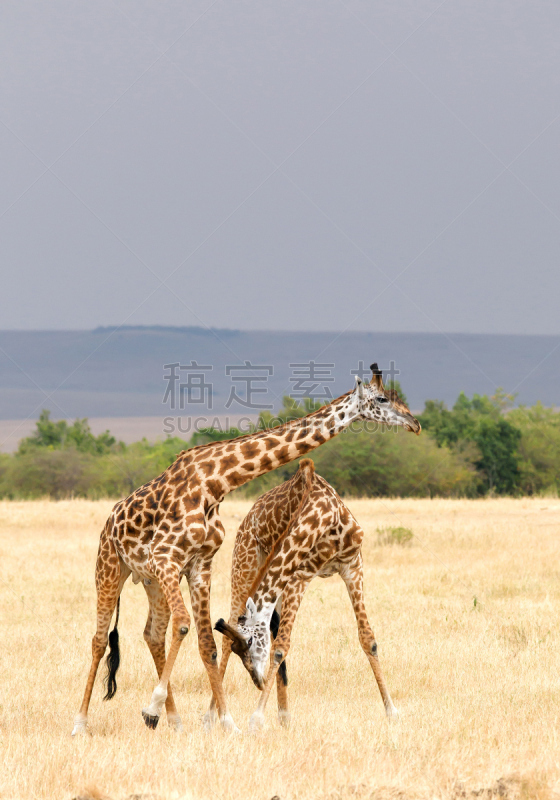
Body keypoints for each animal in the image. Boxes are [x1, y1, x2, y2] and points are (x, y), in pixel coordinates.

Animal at [210, 456, 398, 732]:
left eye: (250, 643)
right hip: (244, 564)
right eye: (241, 649)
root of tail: (246, 520)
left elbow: (368, 639)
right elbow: (280, 647)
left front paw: (391, 711)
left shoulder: (352, 565)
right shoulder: (302, 574)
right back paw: (216, 718)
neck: (323, 518)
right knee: (228, 636)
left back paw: (284, 716)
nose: (258, 681)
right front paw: (256, 718)